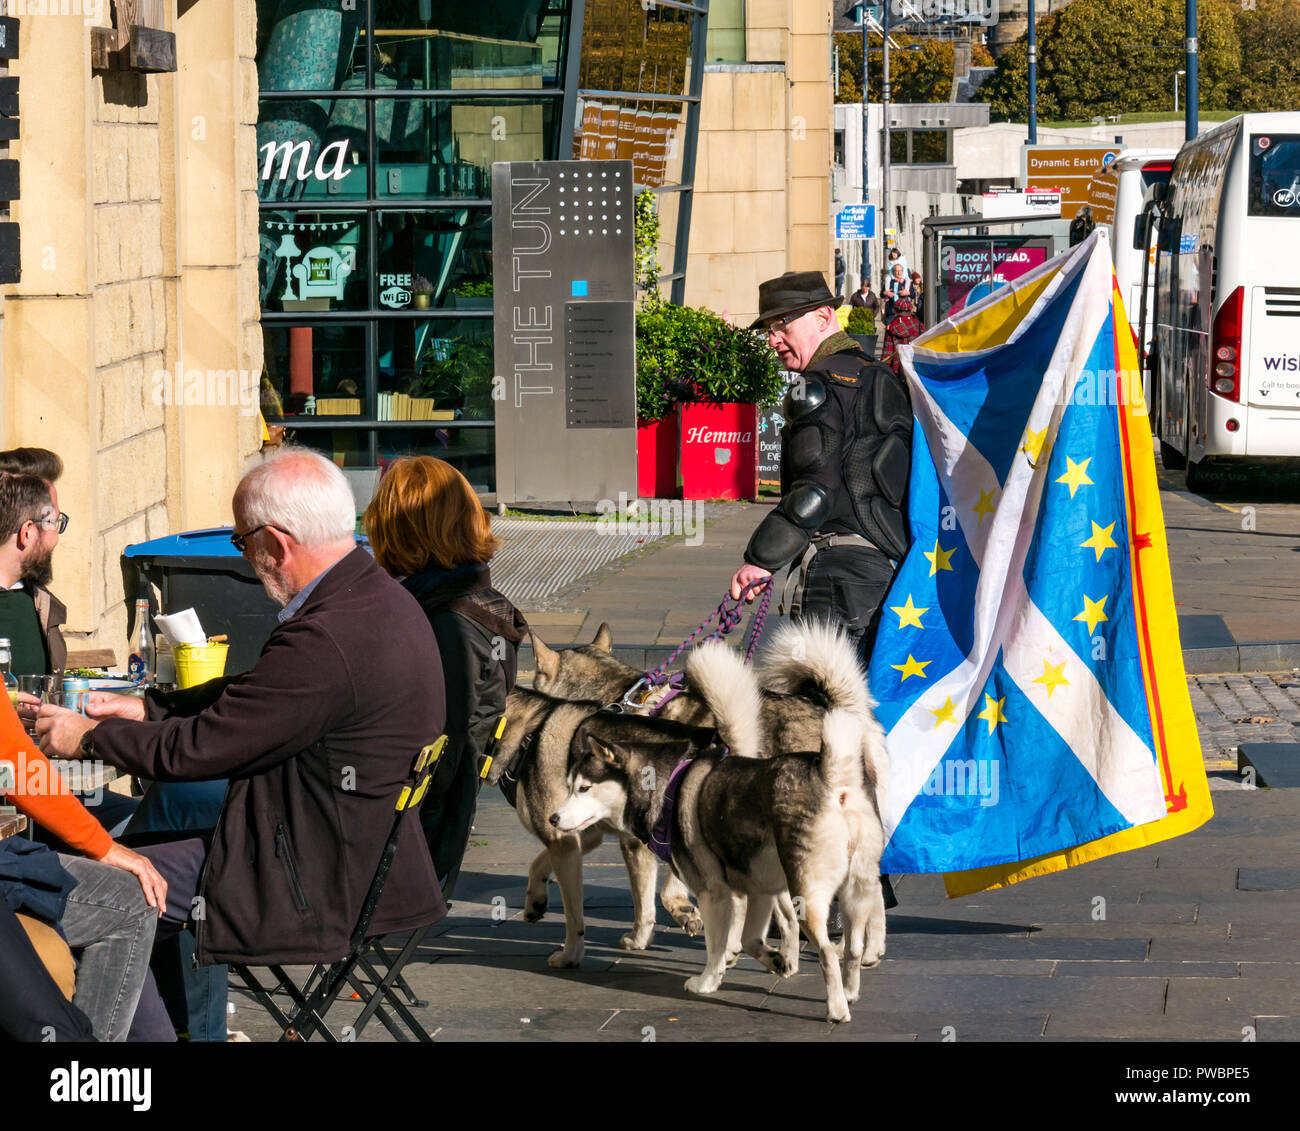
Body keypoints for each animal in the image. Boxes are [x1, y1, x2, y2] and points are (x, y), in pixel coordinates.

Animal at [548, 637, 894, 1029]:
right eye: (570, 786)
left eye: (583, 788)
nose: (553, 818)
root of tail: (832, 776)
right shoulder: (758, 888)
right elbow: (751, 936)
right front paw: (776, 960)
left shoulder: (709, 887)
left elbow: (705, 933)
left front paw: (706, 977)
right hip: (855, 885)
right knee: (856, 936)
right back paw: (855, 980)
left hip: (808, 894)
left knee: (826, 953)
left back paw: (836, 1007)